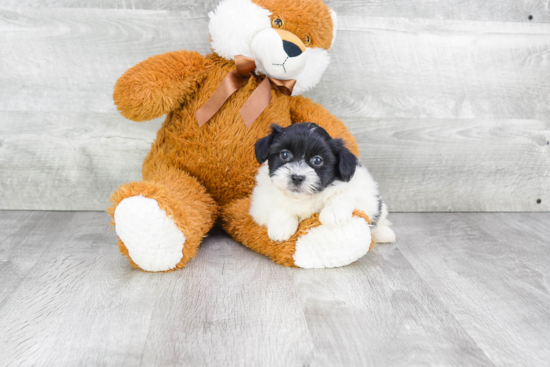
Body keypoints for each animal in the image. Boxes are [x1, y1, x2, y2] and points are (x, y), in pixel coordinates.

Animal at [250, 123, 396, 244]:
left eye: (317, 160)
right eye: (284, 154)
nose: (297, 177)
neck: (303, 198)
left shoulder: (362, 187)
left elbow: (344, 194)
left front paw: (334, 212)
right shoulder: (260, 202)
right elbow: (278, 206)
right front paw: (280, 226)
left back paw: (384, 234)